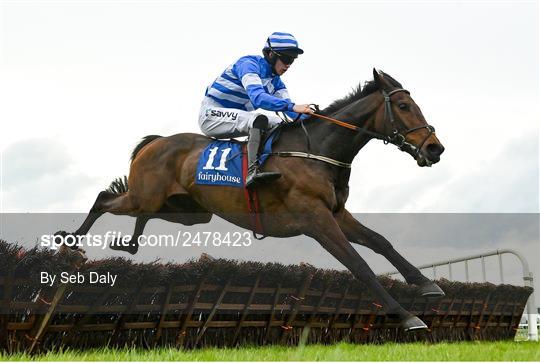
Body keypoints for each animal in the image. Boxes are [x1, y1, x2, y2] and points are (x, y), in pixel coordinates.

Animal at [68, 69, 448, 332]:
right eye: (404, 106)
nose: (435, 149)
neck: (317, 151)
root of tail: (156, 142)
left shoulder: (337, 213)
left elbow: (380, 242)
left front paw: (427, 284)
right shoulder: (315, 219)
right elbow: (359, 265)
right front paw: (408, 317)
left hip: (189, 210)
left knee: (139, 213)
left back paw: (128, 244)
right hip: (146, 196)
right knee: (104, 198)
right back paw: (70, 238)